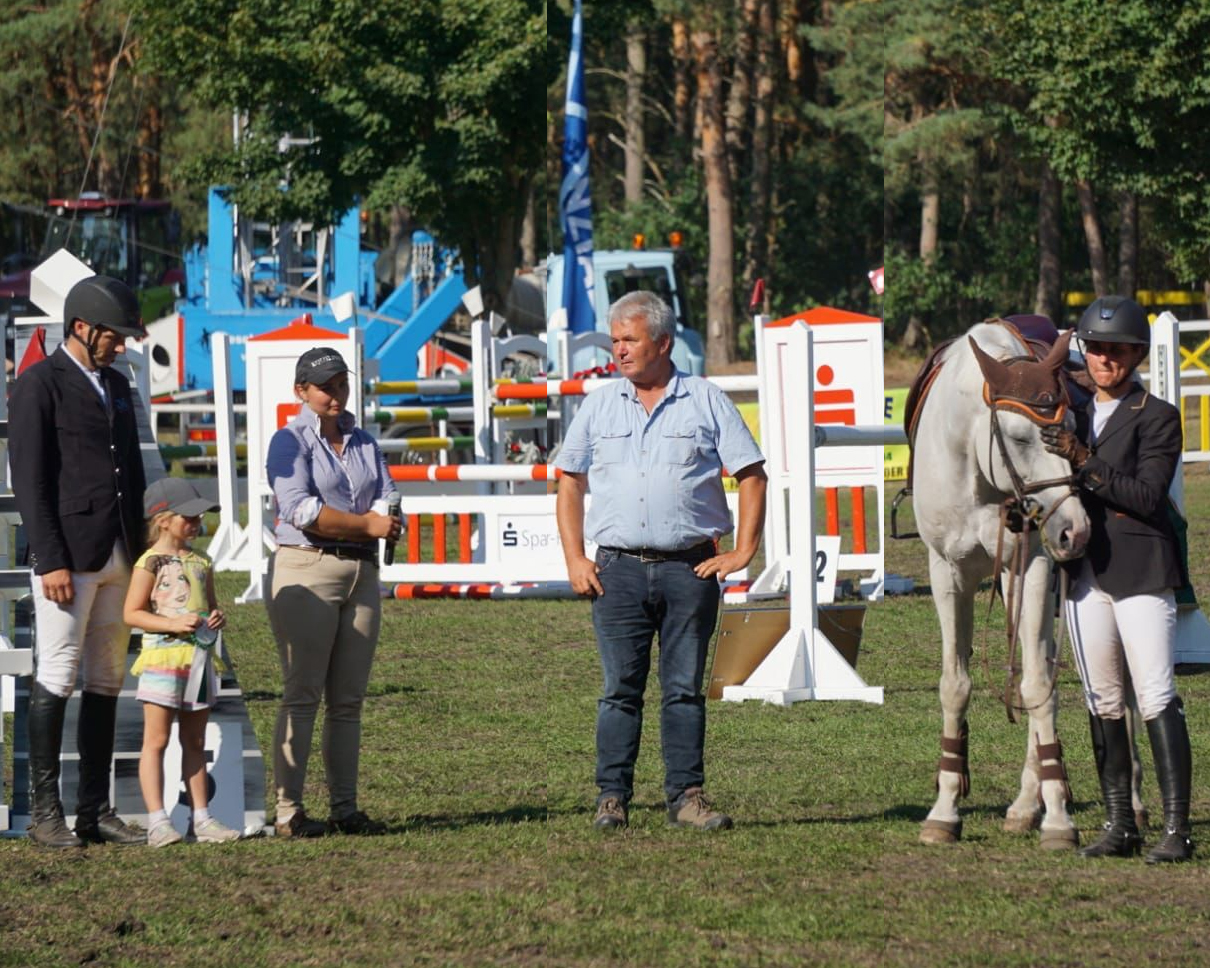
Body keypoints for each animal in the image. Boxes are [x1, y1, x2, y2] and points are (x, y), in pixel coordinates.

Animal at [909, 324, 1093, 847]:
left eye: (1072, 425)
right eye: (1018, 436)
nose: (1075, 530)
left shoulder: (1030, 568)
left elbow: (1035, 686)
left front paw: (1057, 819)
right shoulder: (946, 573)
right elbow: (955, 685)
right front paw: (945, 810)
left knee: (1040, 674)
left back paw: (1031, 802)